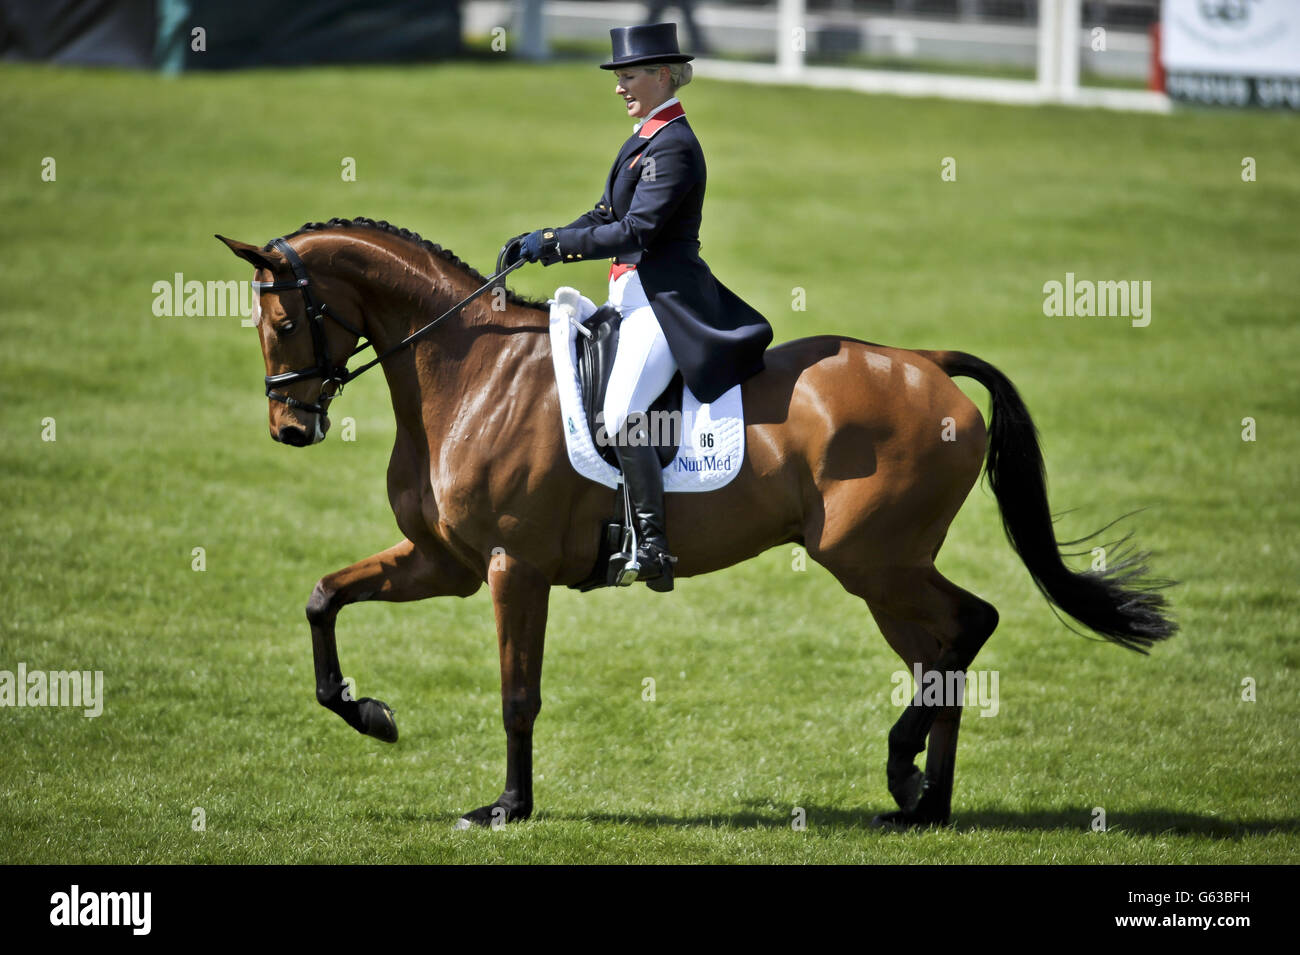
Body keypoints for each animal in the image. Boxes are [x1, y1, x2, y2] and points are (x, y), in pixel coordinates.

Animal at [215, 218, 1180, 831]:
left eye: (283, 317)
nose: (289, 426)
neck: (467, 371)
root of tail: (925, 363)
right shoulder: (442, 560)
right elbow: (323, 596)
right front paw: (368, 713)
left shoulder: (509, 566)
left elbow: (517, 694)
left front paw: (507, 808)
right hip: (885, 571)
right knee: (938, 652)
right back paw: (922, 804)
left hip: (872, 559)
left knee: (967, 625)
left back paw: (908, 773)